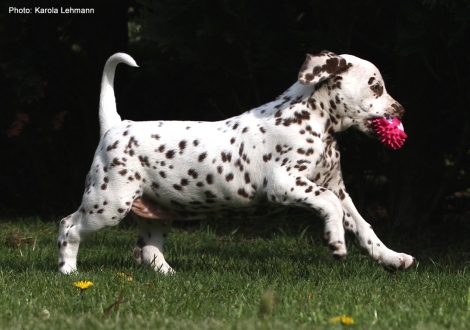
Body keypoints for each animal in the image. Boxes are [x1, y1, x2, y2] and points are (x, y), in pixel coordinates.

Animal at [57, 50, 414, 274]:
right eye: (375, 86)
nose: (401, 109)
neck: (312, 121)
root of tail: (116, 125)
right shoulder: (286, 183)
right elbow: (330, 206)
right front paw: (336, 242)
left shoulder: (337, 187)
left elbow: (363, 226)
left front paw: (392, 257)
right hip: (108, 203)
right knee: (68, 226)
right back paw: (68, 271)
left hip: (154, 211)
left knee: (147, 250)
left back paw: (171, 276)